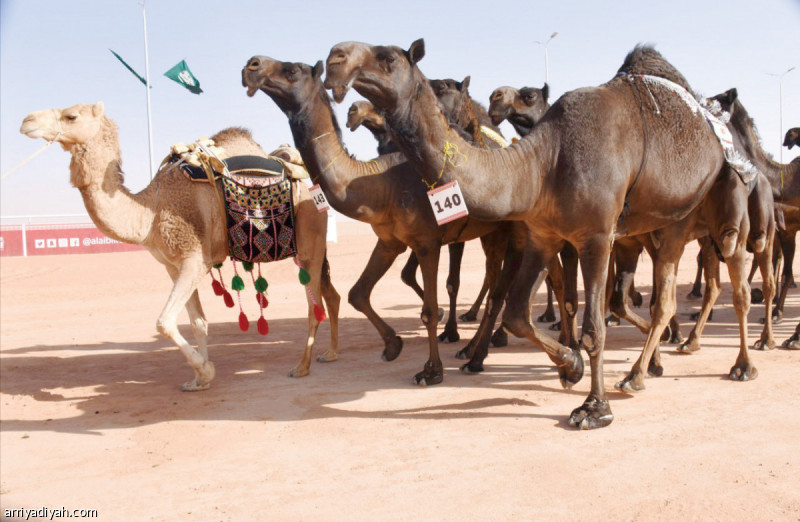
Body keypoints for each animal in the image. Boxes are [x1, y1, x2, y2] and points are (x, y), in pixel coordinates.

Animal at [18, 101, 338, 388]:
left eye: (71, 116)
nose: (26, 121)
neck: (150, 211)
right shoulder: (173, 265)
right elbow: (197, 322)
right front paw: (200, 379)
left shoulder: (195, 259)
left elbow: (164, 322)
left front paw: (205, 370)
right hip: (305, 248)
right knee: (329, 295)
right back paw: (330, 354)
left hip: (309, 238)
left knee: (314, 305)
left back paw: (301, 367)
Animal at [241, 57, 520, 374]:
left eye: (292, 70)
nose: (252, 64)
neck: (382, 184)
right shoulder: (389, 241)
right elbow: (358, 293)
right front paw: (392, 345)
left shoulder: (427, 242)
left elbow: (429, 309)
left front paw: (431, 370)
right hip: (491, 232)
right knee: (496, 284)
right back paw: (473, 350)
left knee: (502, 287)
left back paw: (478, 353)